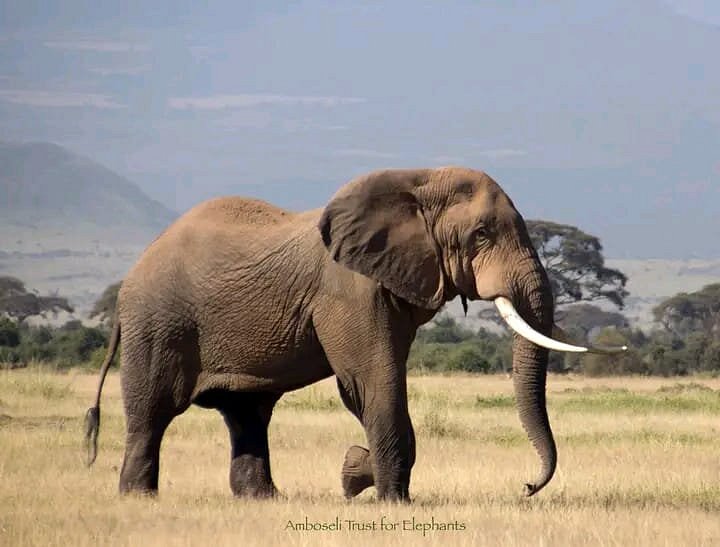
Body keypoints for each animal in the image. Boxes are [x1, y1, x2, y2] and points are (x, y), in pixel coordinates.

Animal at [84, 166, 624, 501]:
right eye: (482, 234)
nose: (526, 487)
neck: (416, 181)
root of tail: (133, 273)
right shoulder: (349, 290)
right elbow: (371, 383)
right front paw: (385, 497)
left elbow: (375, 384)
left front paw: (353, 478)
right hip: (159, 322)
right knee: (153, 410)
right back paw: (139, 497)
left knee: (247, 413)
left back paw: (263, 500)